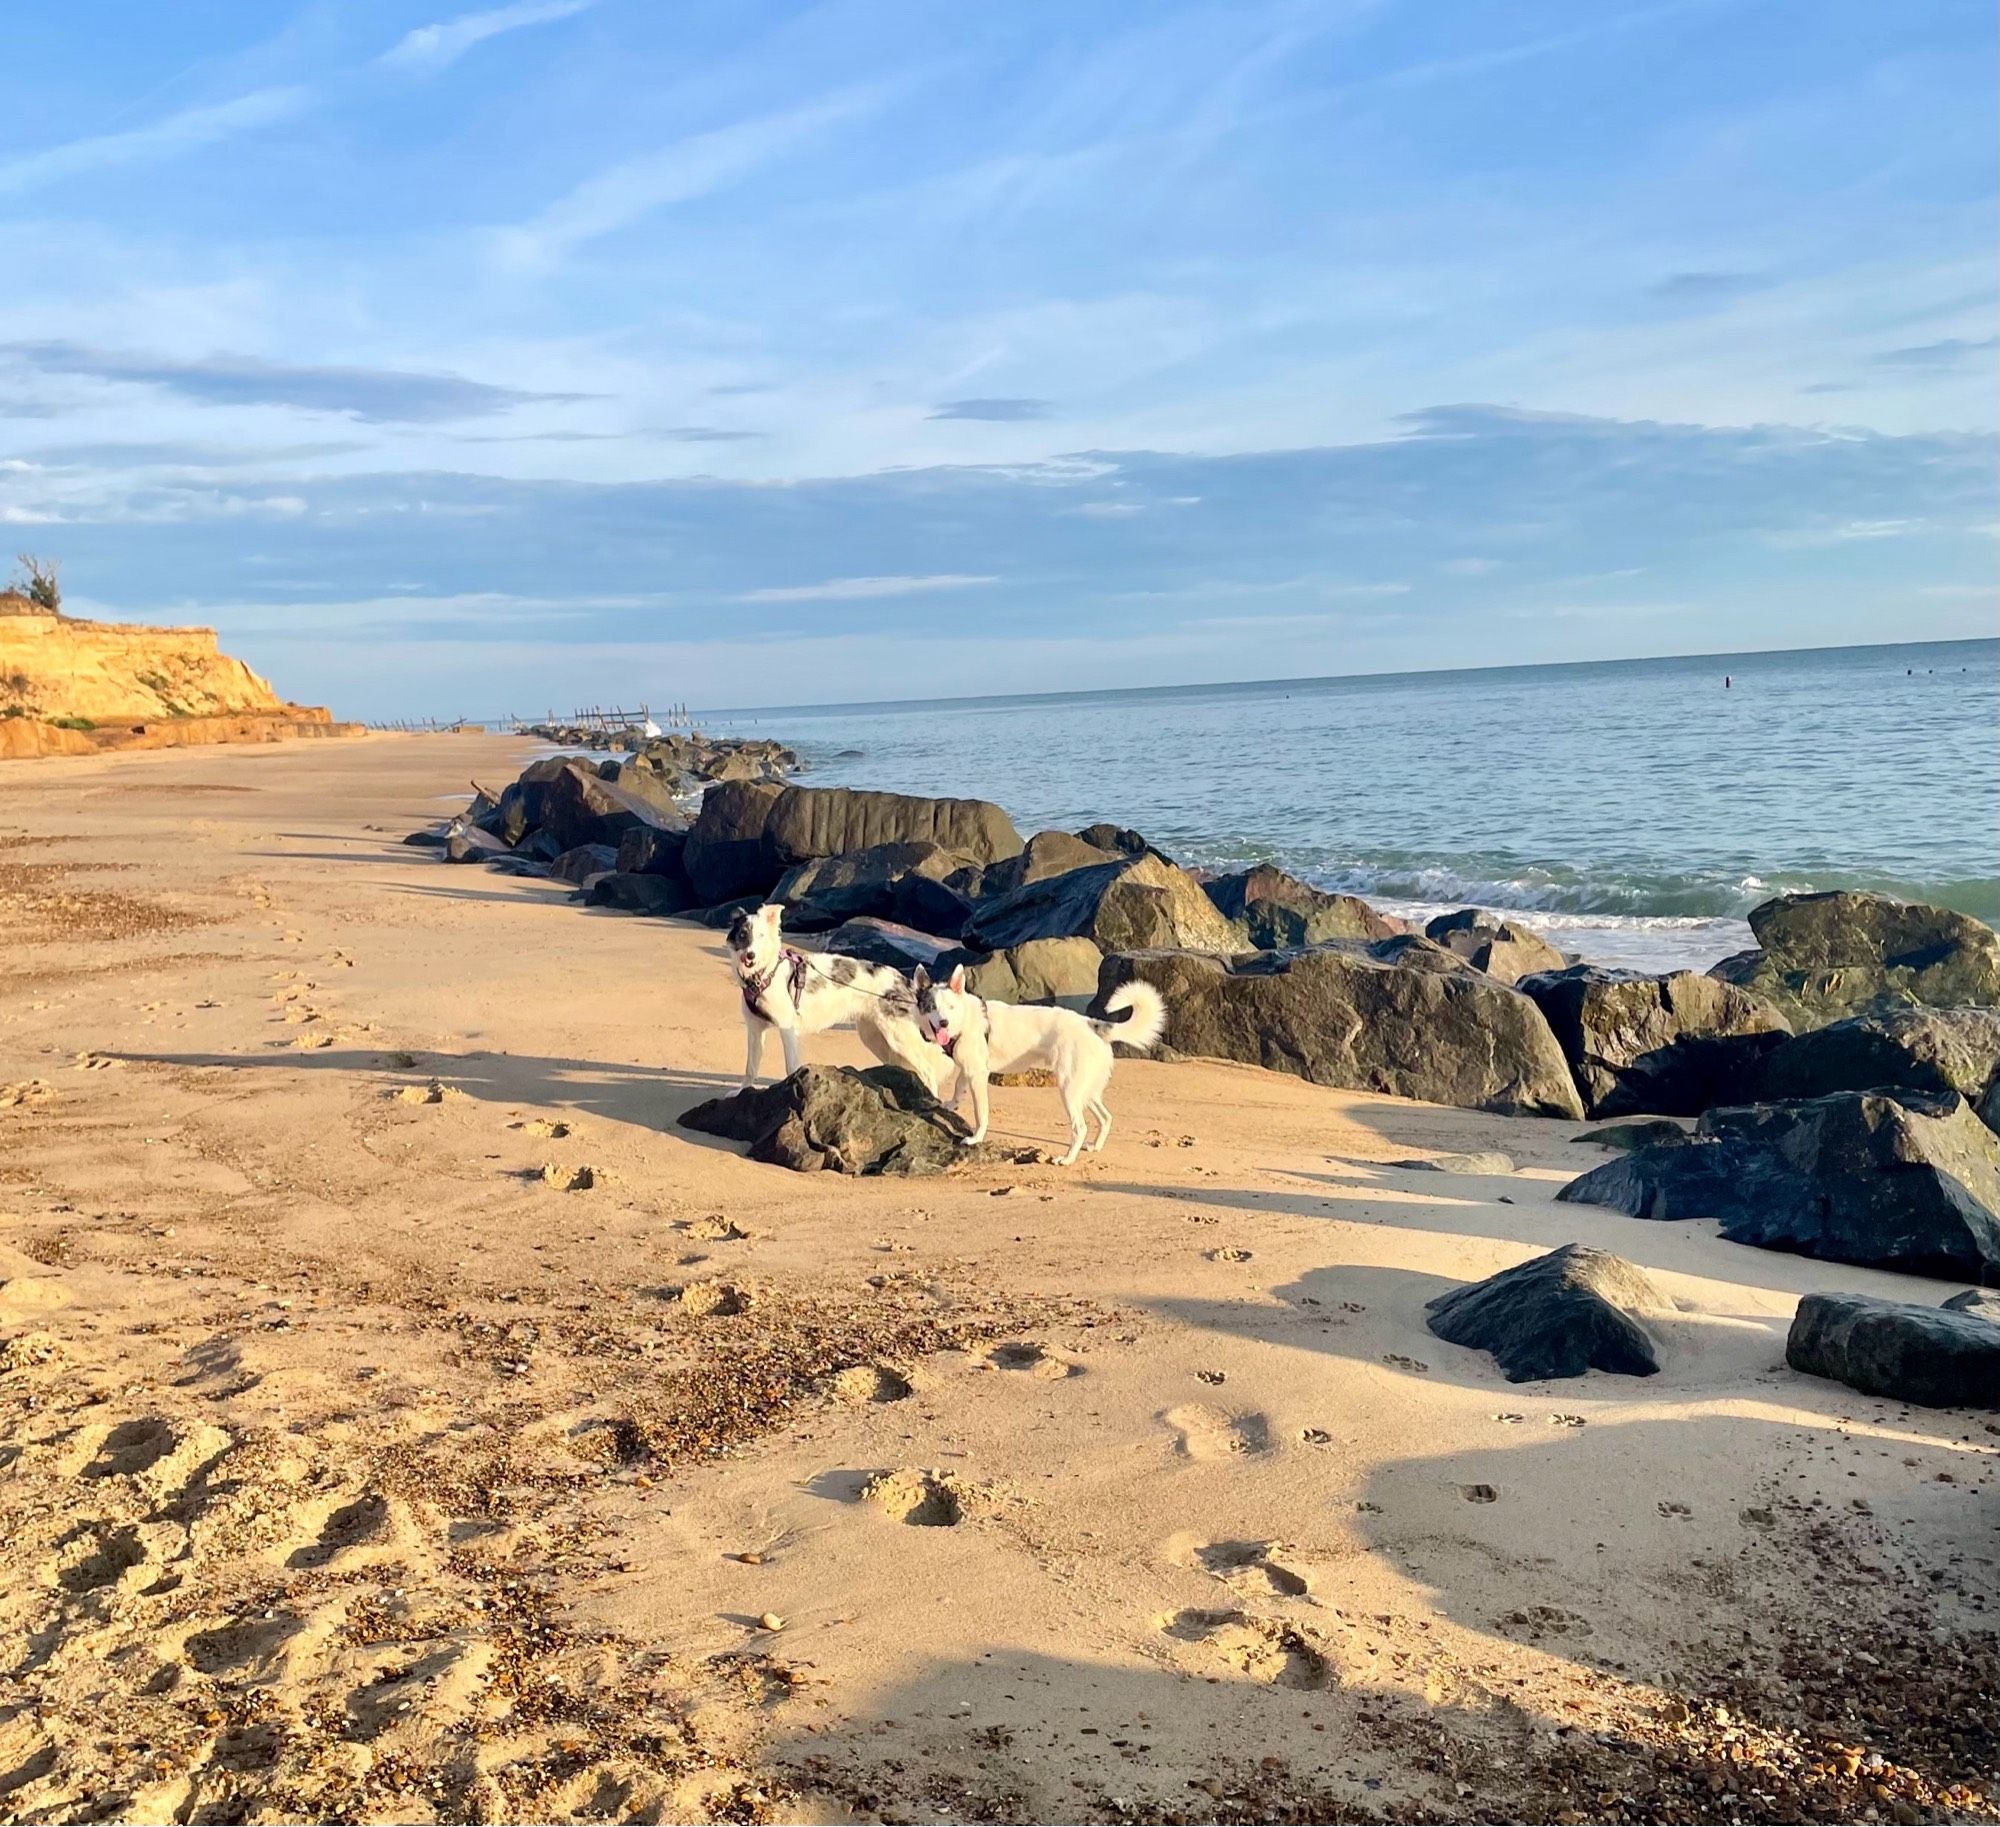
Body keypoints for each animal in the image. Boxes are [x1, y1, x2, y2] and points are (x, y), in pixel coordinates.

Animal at [728, 899, 960, 1095]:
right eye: (743, 935)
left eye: (761, 936)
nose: (750, 955)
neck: (762, 975)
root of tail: (903, 980)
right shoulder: (754, 1029)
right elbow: (750, 1067)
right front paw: (742, 1092)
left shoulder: (788, 1027)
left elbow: (790, 1066)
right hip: (875, 1037)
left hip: (897, 1037)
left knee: (928, 1071)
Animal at [912, 959, 1168, 1159]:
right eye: (931, 1007)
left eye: (951, 1007)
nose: (943, 1022)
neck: (965, 1020)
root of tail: (1092, 1024)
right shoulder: (970, 1070)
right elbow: (958, 1086)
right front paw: (950, 1103)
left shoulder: (978, 1076)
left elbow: (980, 1113)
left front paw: (976, 1138)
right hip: (1086, 1089)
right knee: (1106, 1118)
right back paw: (1095, 1147)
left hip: (1069, 1088)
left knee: (1080, 1127)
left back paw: (1067, 1159)